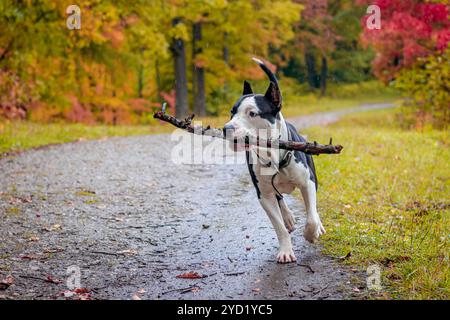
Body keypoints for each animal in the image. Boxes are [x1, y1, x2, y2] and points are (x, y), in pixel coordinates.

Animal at [223, 58, 326, 264]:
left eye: (252, 113)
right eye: (232, 112)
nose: (226, 128)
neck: (273, 156)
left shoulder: (308, 182)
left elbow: (311, 216)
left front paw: (311, 233)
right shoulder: (264, 195)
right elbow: (278, 226)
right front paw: (285, 250)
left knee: (312, 210)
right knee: (280, 198)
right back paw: (288, 218)